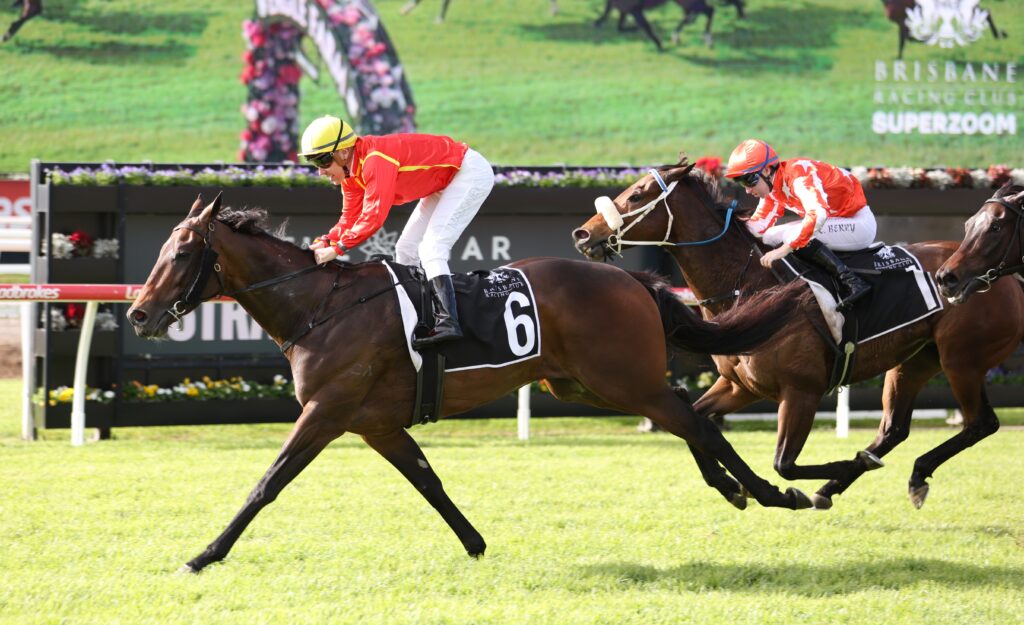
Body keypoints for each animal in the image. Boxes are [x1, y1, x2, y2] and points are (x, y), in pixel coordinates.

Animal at [126, 193, 813, 573]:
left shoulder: (326, 410)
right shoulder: (376, 424)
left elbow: (267, 483)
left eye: (182, 253)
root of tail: (630, 278)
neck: (321, 307)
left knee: (695, 420)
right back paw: (736, 489)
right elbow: (429, 483)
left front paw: (203, 555)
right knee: (691, 420)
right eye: (162, 248)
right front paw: (476, 544)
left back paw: (772, 492)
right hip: (584, 385)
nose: (137, 313)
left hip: (623, 380)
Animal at [571, 160, 1024, 510]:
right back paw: (853, 482)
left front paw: (812, 479)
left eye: (636, 195)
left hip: (962, 360)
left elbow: (783, 464)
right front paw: (733, 488)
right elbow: (694, 423)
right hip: (913, 361)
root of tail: (1002, 277)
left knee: (981, 423)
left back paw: (893, 475)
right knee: (894, 429)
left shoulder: (801, 390)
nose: (583, 234)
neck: (748, 285)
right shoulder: (738, 386)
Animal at [594, 0, 745, 50]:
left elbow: (646, 28)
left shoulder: (635, 10)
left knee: (709, 10)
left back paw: (707, 39)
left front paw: (660, 46)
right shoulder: (626, 10)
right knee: (699, 12)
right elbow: (619, 26)